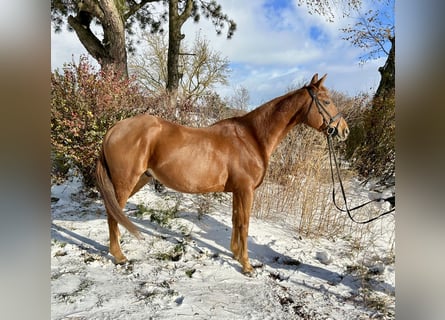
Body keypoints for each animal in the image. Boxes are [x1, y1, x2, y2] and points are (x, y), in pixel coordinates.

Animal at [95, 74, 348, 274]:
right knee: (113, 213)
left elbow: (236, 220)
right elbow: (244, 224)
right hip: (126, 182)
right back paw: (119, 255)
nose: (344, 130)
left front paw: (235, 254)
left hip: (139, 179)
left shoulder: (238, 191)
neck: (252, 137)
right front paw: (247, 266)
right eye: (326, 101)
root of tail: (113, 130)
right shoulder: (246, 190)